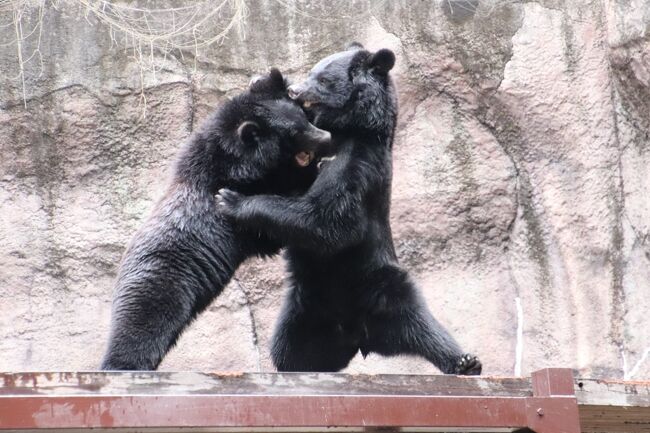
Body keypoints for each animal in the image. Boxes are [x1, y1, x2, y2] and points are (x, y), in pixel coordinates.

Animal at [102, 69, 334, 370]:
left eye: (304, 118)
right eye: (295, 132)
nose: (327, 138)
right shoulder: (233, 213)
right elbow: (270, 227)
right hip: (160, 288)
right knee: (139, 330)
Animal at [218, 44, 480, 374]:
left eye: (322, 80)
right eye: (311, 73)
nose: (294, 90)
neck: (349, 130)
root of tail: (359, 337)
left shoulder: (359, 164)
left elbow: (329, 220)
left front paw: (230, 200)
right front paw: (260, 83)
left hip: (381, 286)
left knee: (420, 324)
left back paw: (465, 362)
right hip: (304, 309)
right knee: (290, 351)